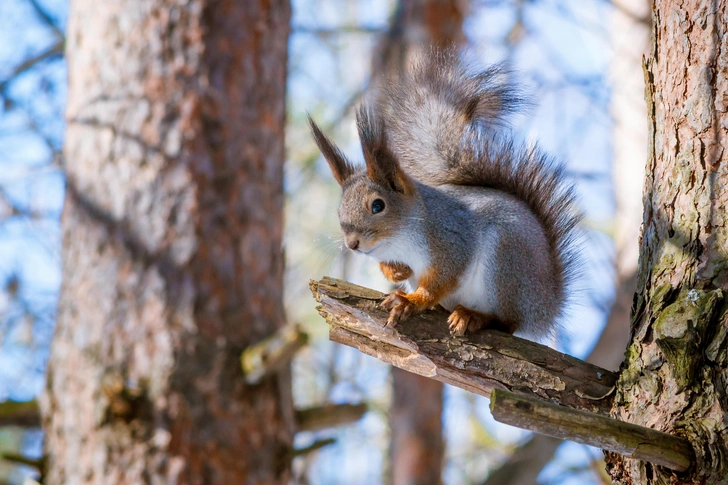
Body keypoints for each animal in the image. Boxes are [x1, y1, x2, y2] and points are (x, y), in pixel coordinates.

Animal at [308, 49, 580, 336]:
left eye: (377, 206)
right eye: (339, 209)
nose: (352, 244)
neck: (400, 237)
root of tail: (546, 305)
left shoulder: (452, 241)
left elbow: (442, 280)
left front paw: (412, 301)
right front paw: (397, 272)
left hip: (505, 262)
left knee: (508, 322)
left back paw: (473, 316)